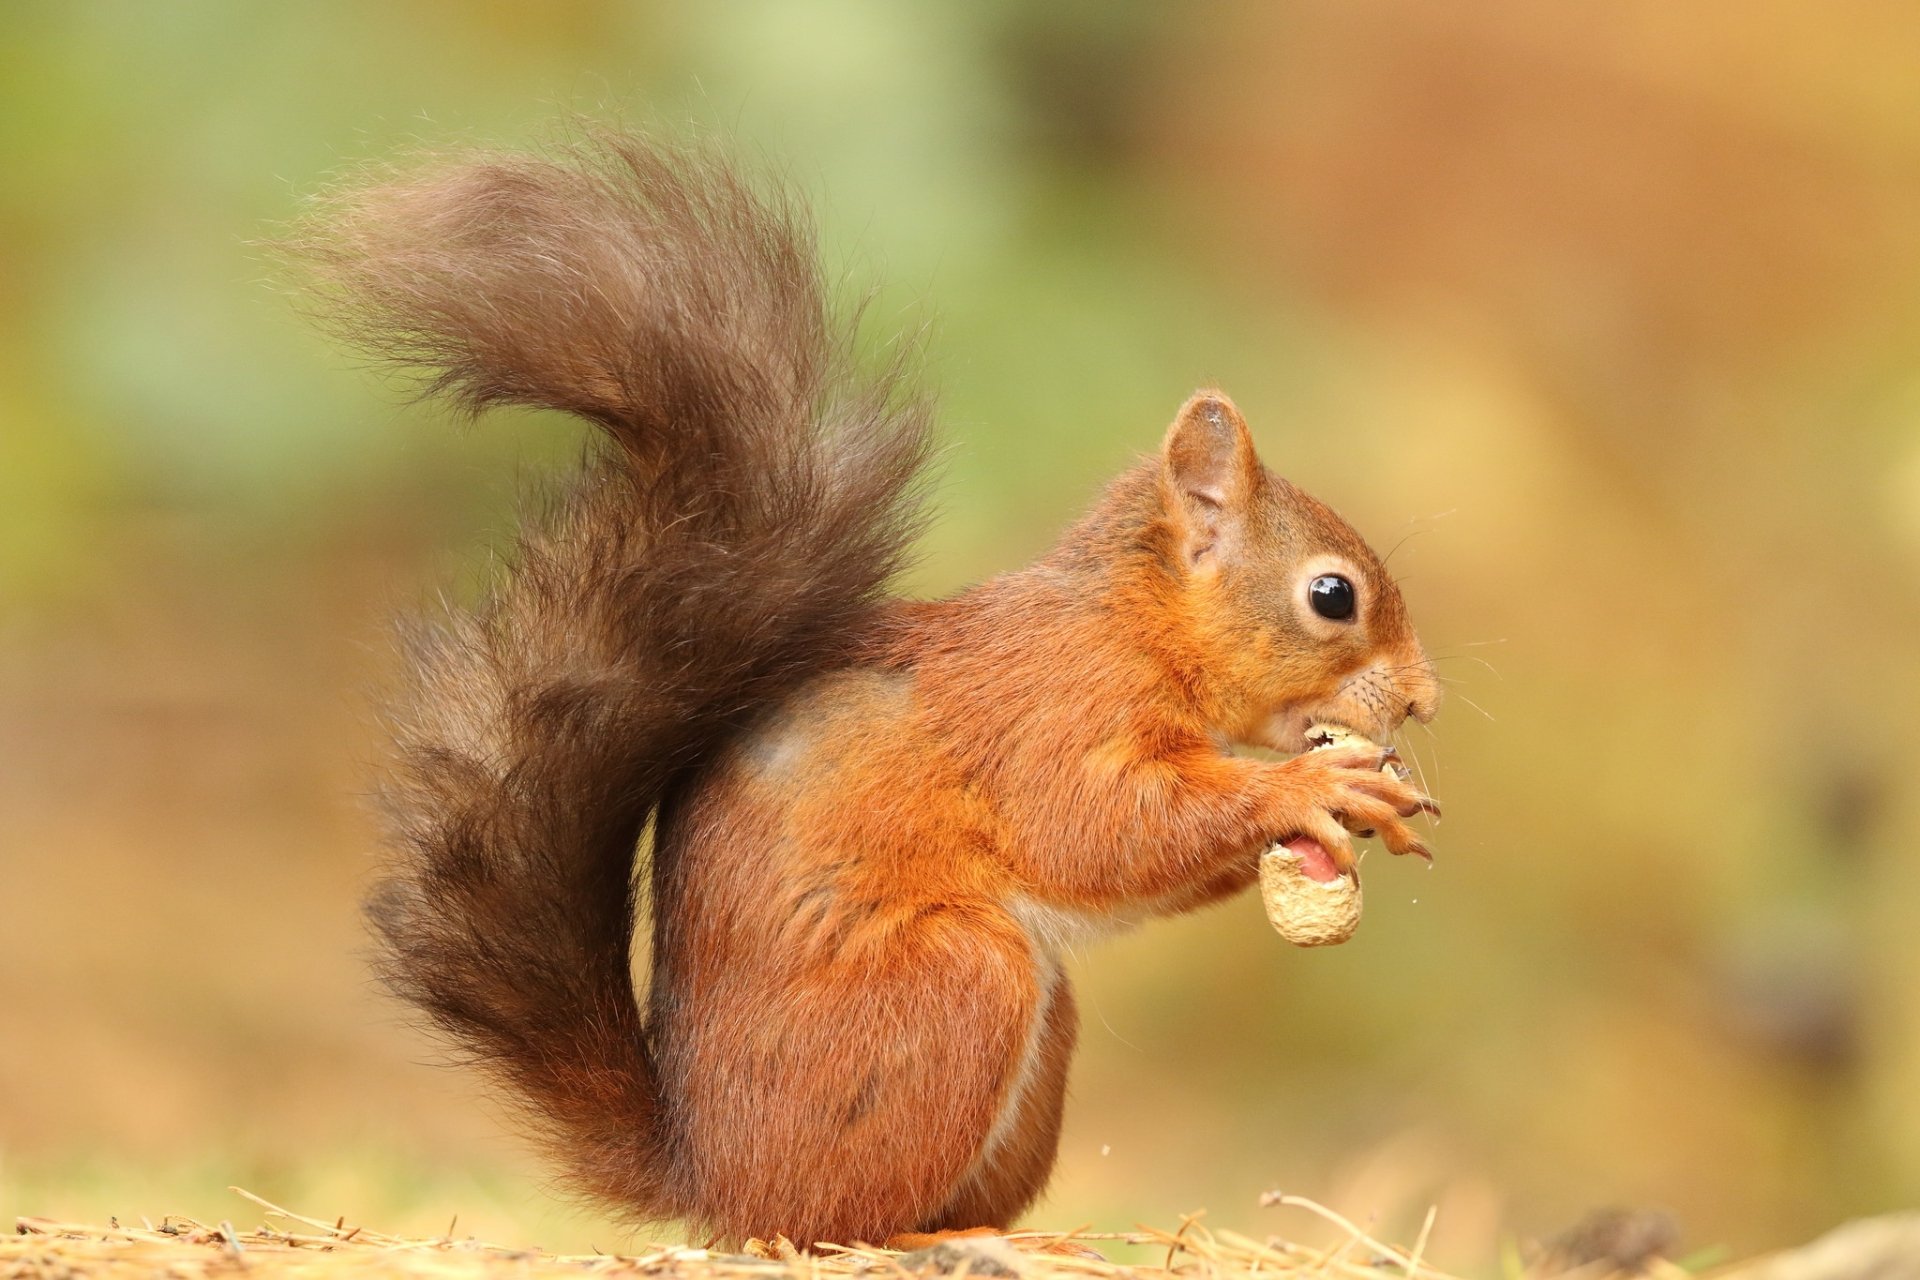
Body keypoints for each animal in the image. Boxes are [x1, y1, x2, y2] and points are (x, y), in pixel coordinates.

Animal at [290, 132, 1441, 1250]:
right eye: (1332, 595)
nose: (1424, 700)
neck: (1129, 626)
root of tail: (708, 1175)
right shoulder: (1050, 714)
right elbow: (1097, 829)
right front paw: (1305, 789)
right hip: (954, 985)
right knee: (819, 1221)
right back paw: (910, 1239)